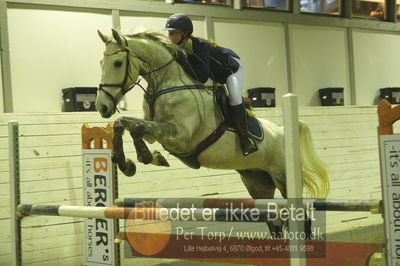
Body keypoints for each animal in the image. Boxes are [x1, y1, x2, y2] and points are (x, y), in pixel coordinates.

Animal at [96, 29, 328, 237]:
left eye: (118, 63)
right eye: (101, 64)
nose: (102, 107)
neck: (166, 84)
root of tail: (283, 131)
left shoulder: (180, 137)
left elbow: (135, 127)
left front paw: (144, 157)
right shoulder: (155, 133)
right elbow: (124, 124)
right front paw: (131, 162)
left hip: (283, 178)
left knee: (301, 217)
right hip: (258, 183)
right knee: (275, 221)